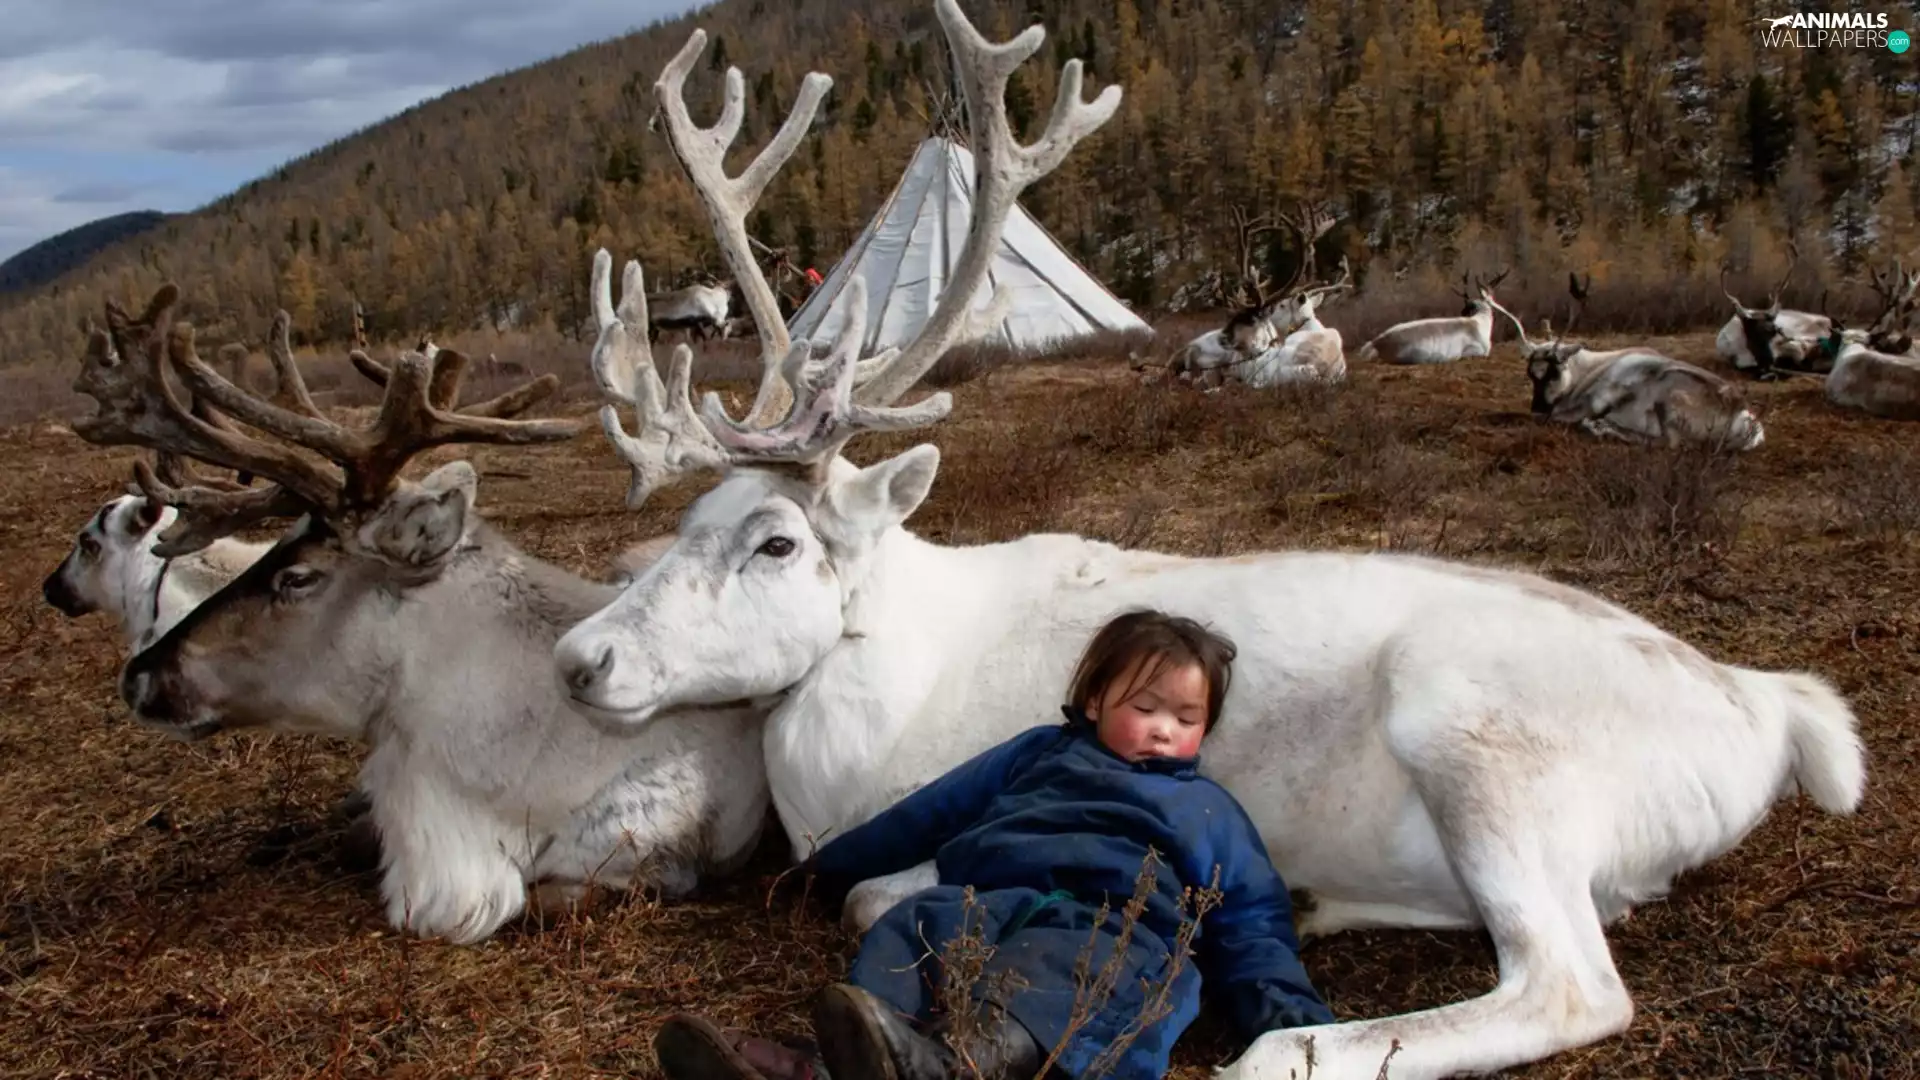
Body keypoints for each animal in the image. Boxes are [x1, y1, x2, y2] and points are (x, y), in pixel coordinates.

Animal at [1492, 274, 1764, 451]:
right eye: (1530, 374)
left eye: (1553, 372)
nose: (1537, 407)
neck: (1584, 374)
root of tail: (1746, 420)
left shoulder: (1589, 402)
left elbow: (1553, 416)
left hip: (1669, 400)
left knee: (1671, 443)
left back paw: (1602, 427)